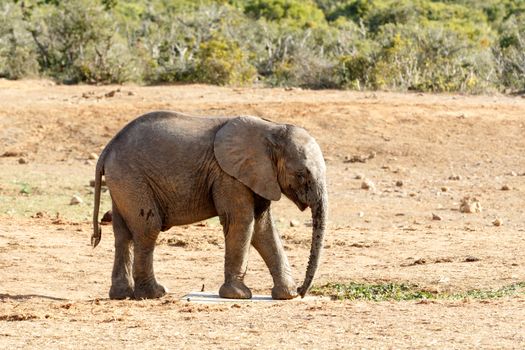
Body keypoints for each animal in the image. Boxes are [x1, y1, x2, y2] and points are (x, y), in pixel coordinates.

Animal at [92, 110, 326, 300]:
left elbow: (262, 228)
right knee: (148, 228)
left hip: (122, 181)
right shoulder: (228, 176)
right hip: (131, 177)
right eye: (301, 174)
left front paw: (287, 295)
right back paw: (155, 294)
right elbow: (242, 221)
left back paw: (121, 295)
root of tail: (108, 148)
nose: (302, 291)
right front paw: (238, 295)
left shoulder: (258, 176)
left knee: (123, 234)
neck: (272, 129)